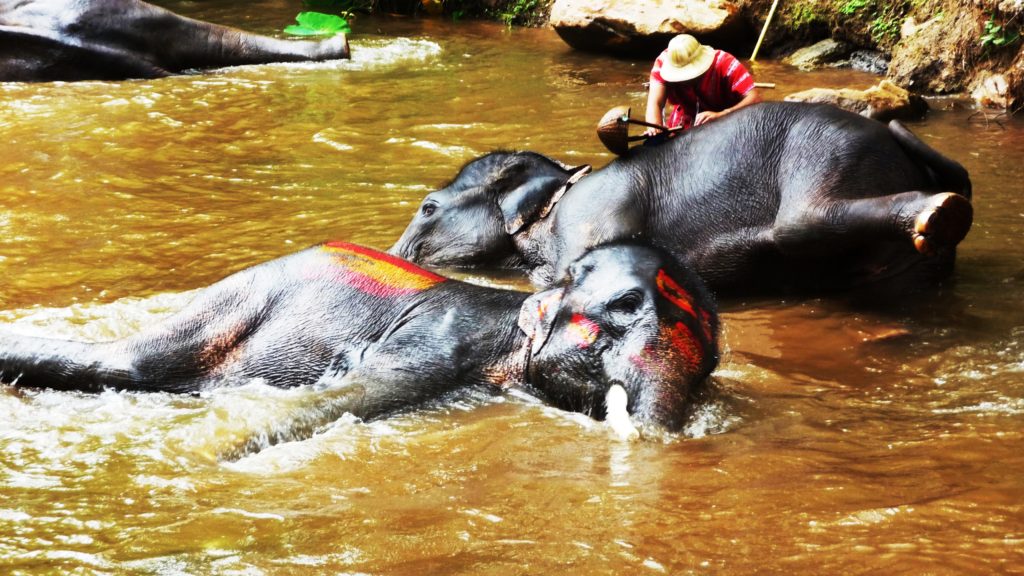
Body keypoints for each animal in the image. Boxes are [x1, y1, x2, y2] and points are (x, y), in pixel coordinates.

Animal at [391, 101, 974, 295]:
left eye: (428, 207)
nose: (391, 256)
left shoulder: (592, 213)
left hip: (824, 151)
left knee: (803, 223)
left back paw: (939, 212)